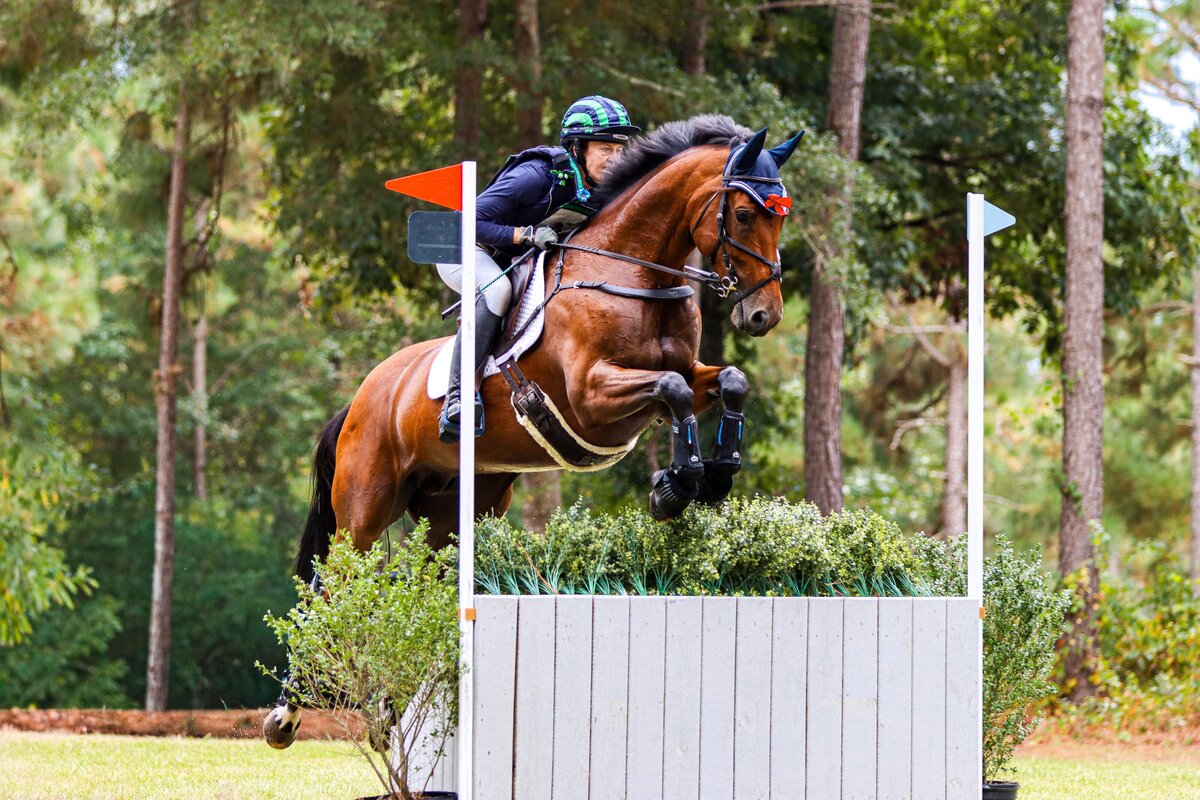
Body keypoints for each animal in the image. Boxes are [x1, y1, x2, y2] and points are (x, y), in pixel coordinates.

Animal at [265, 115, 799, 748]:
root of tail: (359, 399)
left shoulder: (689, 376)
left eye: (781, 215)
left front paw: (711, 477)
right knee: (334, 591)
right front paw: (679, 485)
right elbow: (669, 389)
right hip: (364, 511)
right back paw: (288, 715)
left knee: (409, 585)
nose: (763, 315)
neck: (634, 272)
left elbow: (727, 382)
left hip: (455, 513)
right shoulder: (592, 396)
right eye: (742, 214)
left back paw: (389, 715)